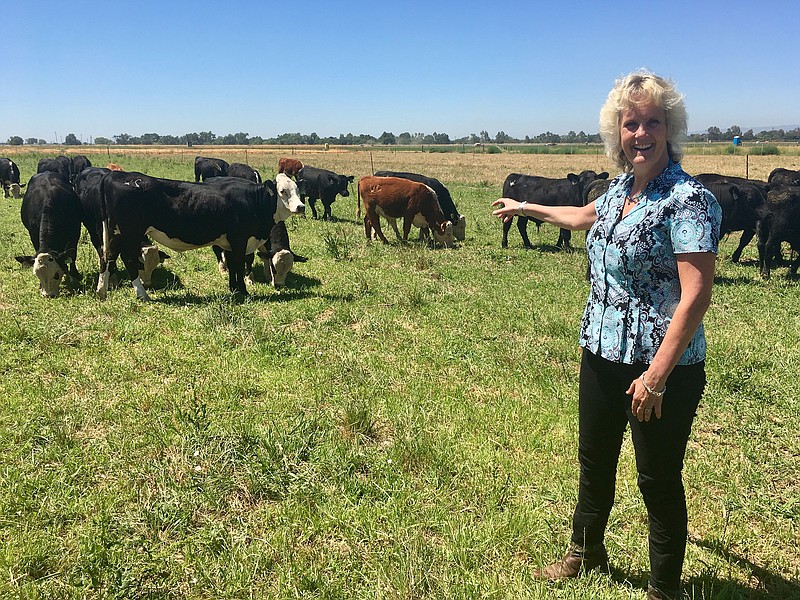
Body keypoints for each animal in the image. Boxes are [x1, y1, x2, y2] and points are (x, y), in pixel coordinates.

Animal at [97, 171, 304, 300]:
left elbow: (233, 265)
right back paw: (139, 294)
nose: (300, 207)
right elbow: (238, 264)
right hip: (127, 232)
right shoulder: (239, 240)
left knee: (110, 258)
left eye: (297, 190)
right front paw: (243, 291)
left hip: (119, 233)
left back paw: (103, 292)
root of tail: (115, 175)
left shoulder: (230, 242)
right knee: (123, 259)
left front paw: (234, 289)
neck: (253, 200)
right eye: (282, 191)